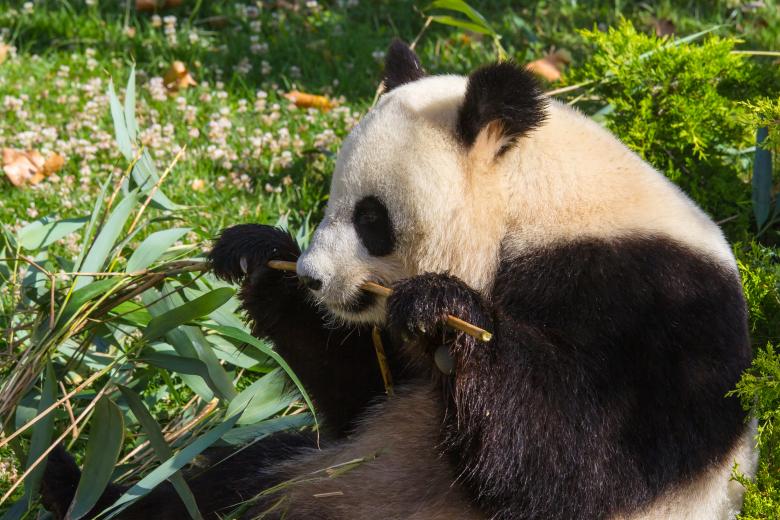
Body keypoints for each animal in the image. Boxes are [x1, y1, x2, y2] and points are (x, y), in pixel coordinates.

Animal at [42, 40, 757, 519]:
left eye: (372, 220)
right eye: (330, 202)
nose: (312, 278)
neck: (537, 206)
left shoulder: (650, 304)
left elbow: (586, 456)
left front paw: (446, 312)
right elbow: (359, 393)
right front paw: (257, 256)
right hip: (300, 473)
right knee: (208, 483)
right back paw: (71, 485)